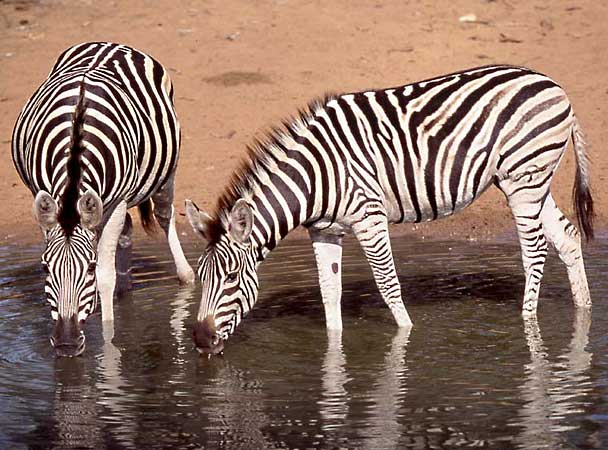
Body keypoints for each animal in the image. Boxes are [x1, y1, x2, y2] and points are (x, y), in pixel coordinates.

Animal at [11, 43, 195, 358]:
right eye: (46, 268)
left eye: (89, 268)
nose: (67, 344)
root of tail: (110, 44)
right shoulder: (43, 198)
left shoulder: (118, 201)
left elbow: (105, 277)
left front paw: (109, 340)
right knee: (128, 229)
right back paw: (126, 286)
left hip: (166, 170)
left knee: (164, 214)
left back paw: (185, 274)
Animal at [185, 66, 592, 356]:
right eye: (201, 276)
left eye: (232, 277)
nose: (201, 340)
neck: (315, 176)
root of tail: (553, 85)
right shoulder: (325, 229)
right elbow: (329, 291)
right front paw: (334, 351)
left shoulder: (369, 217)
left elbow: (388, 285)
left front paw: (405, 339)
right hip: (525, 182)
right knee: (567, 237)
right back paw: (584, 311)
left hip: (524, 179)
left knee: (535, 251)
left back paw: (528, 325)